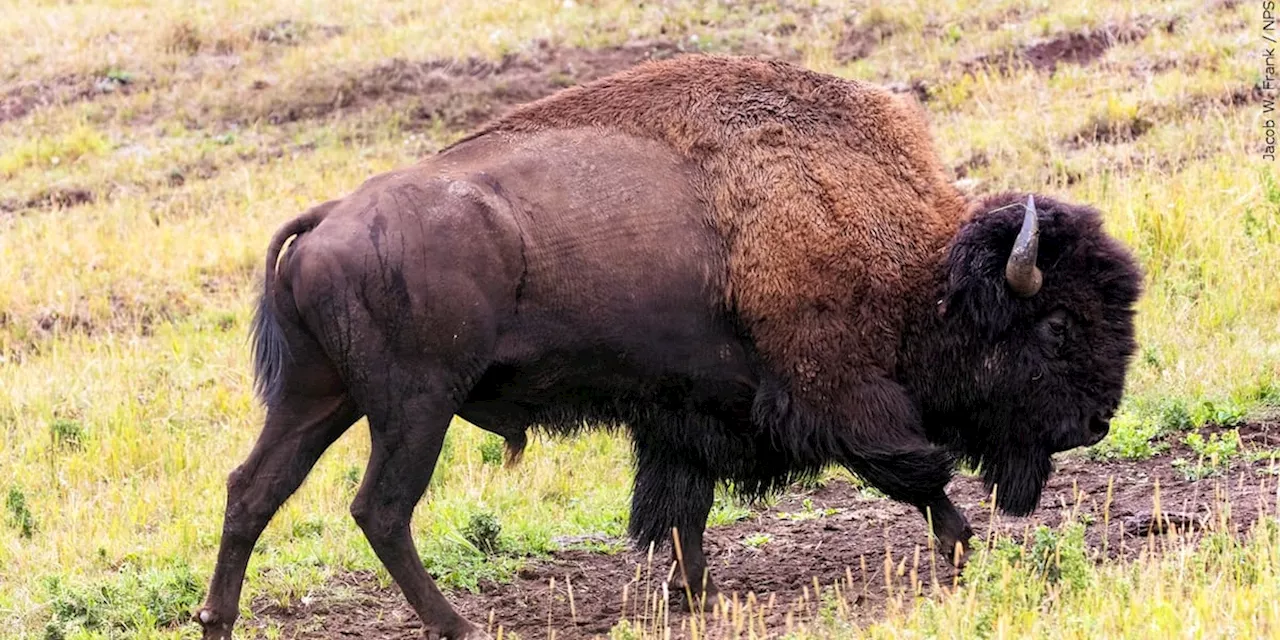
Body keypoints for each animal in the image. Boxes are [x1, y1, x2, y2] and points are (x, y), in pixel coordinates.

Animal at [197, 56, 1141, 640]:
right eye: (1057, 324)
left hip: (321, 397)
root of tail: (329, 218)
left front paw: (693, 593)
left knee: (253, 490)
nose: (1097, 422)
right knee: (380, 508)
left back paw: (217, 620)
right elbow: (910, 465)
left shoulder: (683, 413)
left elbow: (681, 505)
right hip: (413, 407)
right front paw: (962, 545)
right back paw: (457, 625)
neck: (915, 256)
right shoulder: (835, 385)